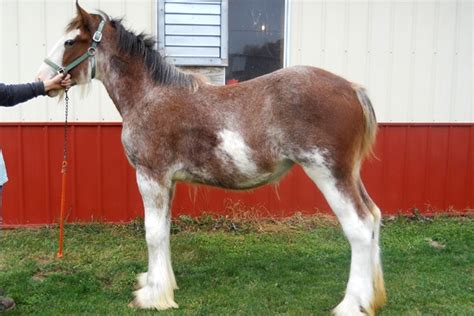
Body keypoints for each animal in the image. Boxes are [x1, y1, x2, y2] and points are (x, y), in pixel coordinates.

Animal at [36, 3, 386, 316]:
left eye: (70, 41)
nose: (44, 79)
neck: (149, 96)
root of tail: (353, 89)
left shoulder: (151, 176)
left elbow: (152, 233)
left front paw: (152, 296)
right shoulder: (167, 181)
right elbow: (164, 230)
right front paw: (161, 284)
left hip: (329, 173)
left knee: (359, 227)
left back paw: (351, 305)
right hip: (349, 175)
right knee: (374, 217)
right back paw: (371, 299)